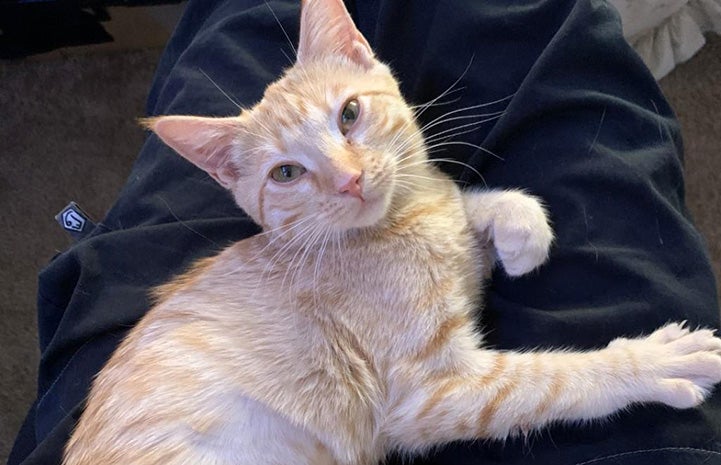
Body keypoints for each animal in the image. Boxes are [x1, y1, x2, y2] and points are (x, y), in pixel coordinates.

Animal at [63, 0, 720, 464]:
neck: (400, 225)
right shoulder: (427, 392)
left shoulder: (437, 213)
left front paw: (521, 229)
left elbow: (465, 202)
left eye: (350, 114)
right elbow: (551, 382)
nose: (349, 180)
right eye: (286, 174)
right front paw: (648, 363)